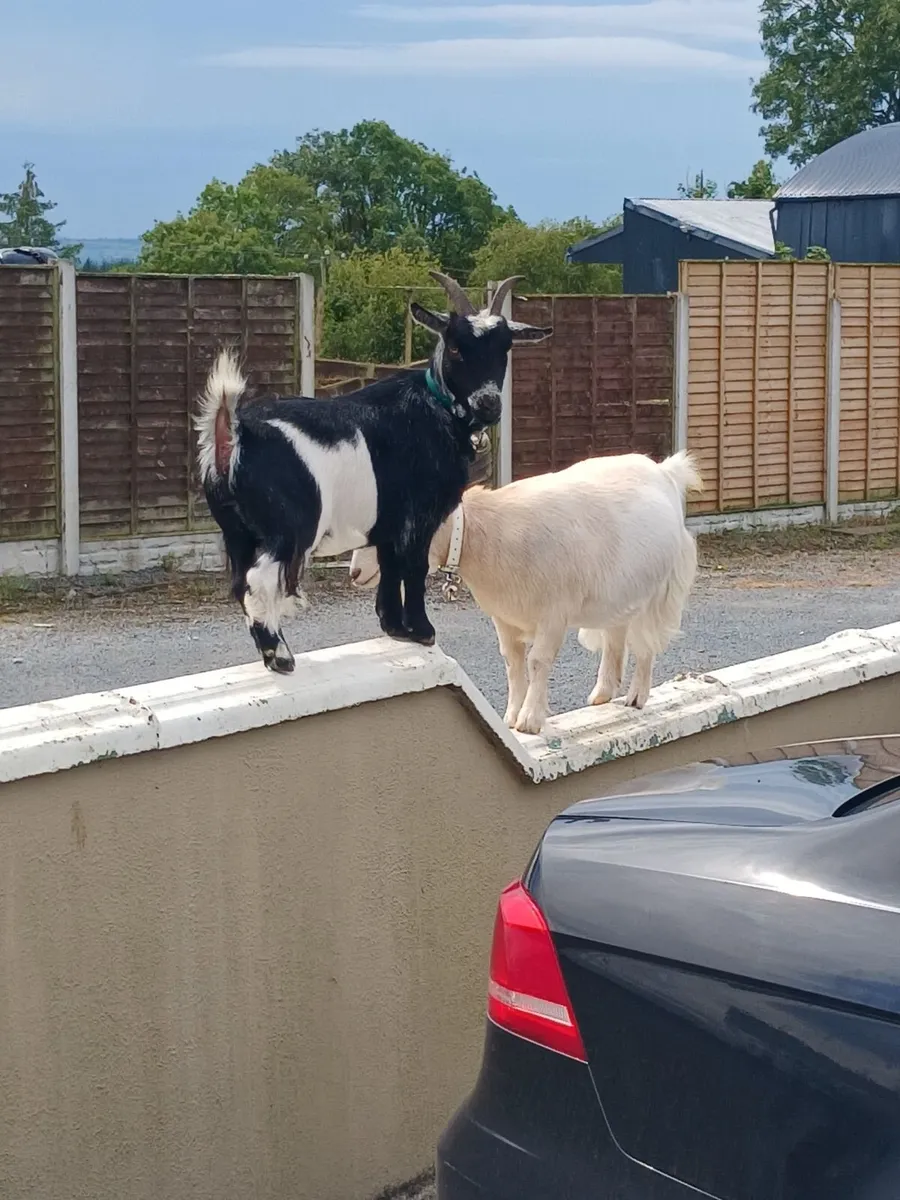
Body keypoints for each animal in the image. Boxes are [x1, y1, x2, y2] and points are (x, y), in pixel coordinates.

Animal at [195, 273, 551, 673]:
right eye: (456, 348)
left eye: (505, 348)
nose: (488, 405)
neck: (434, 407)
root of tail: (235, 433)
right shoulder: (418, 518)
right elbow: (413, 569)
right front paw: (423, 632)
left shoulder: (389, 524)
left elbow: (390, 567)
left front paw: (395, 628)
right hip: (288, 529)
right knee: (258, 580)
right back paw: (281, 657)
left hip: (237, 533)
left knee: (239, 582)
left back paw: (271, 655)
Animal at [349, 451, 702, 734]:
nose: (355, 573)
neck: (486, 533)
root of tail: (666, 471)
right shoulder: (504, 616)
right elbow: (513, 663)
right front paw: (510, 717)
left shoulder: (554, 613)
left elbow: (537, 662)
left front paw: (530, 721)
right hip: (619, 593)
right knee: (616, 635)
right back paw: (602, 694)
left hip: (659, 590)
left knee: (645, 643)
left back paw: (636, 697)